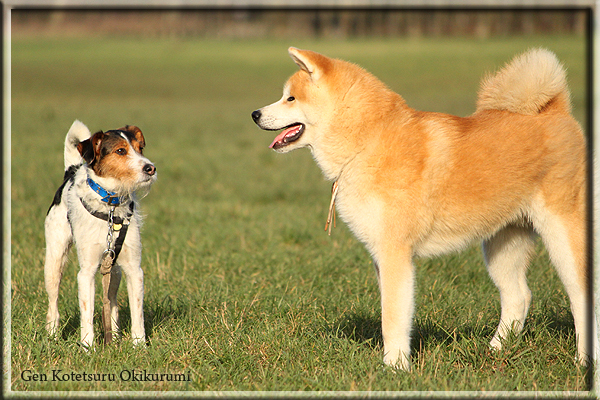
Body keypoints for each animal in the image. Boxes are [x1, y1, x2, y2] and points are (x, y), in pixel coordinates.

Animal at [45, 120, 157, 348]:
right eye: (121, 151)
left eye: (140, 148)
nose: (150, 168)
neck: (111, 205)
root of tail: (71, 171)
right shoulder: (86, 272)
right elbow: (86, 313)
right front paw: (88, 348)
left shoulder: (134, 269)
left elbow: (137, 313)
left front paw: (139, 345)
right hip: (54, 261)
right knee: (53, 303)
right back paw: (52, 336)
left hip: (115, 271)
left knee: (111, 301)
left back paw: (114, 337)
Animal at [252, 47, 592, 372]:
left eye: (290, 98)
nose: (255, 113)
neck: (367, 141)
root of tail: (556, 111)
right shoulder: (381, 255)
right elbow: (393, 313)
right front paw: (396, 361)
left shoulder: (395, 253)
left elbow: (392, 317)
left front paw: (395, 368)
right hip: (502, 244)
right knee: (518, 297)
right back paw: (493, 351)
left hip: (561, 233)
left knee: (580, 296)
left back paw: (584, 361)